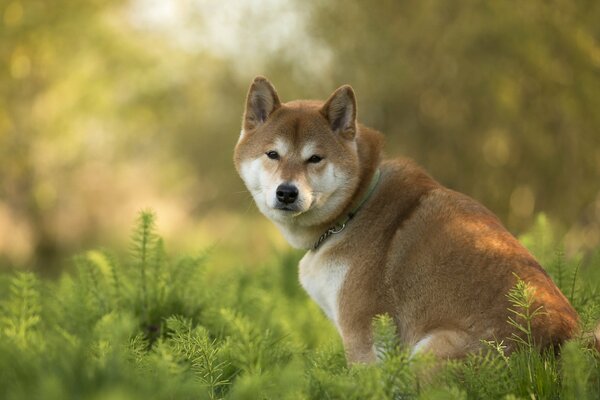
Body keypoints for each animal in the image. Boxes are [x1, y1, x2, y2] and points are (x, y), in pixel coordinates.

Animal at [234, 75, 596, 362]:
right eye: (272, 154)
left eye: (315, 159)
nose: (286, 192)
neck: (354, 209)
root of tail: (565, 346)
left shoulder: (363, 334)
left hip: (431, 350)